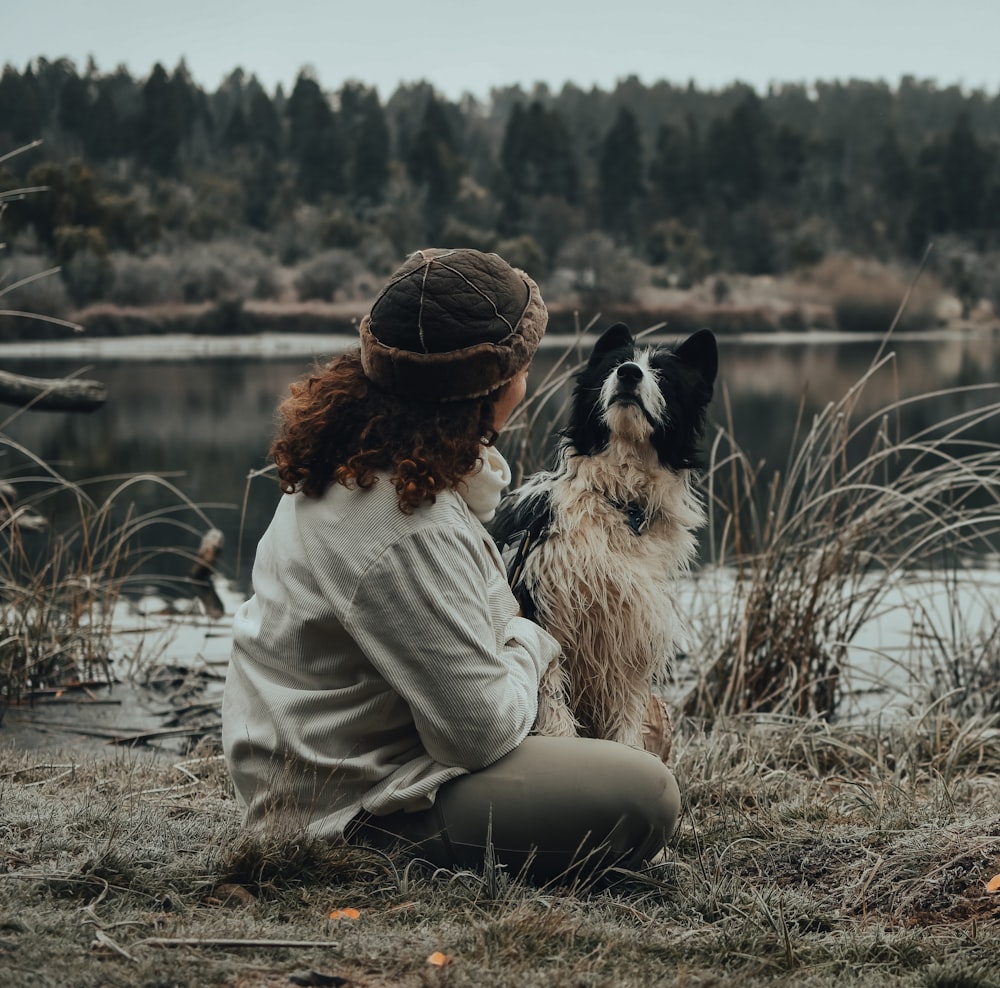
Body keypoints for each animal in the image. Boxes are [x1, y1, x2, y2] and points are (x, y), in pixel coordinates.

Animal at [494, 324, 720, 748]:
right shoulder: (544, 614)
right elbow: (554, 709)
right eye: (615, 364)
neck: (621, 501)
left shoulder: (631, 641)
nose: (629, 373)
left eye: (662, 374)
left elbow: (625, 730)